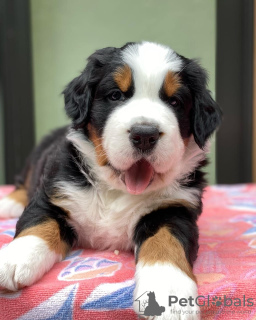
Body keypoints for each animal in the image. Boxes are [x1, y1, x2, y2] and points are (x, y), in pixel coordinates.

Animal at [0, 42, 221, 318]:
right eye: (116, 95)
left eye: (175, 101)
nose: (144, 134)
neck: (117, 189)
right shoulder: (55, 192)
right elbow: (38, 225)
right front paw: (14, 259)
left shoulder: (175, 209)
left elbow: (167, 243)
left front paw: (170, 291)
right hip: (36, 157)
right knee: (23, 181)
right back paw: (9, 202)